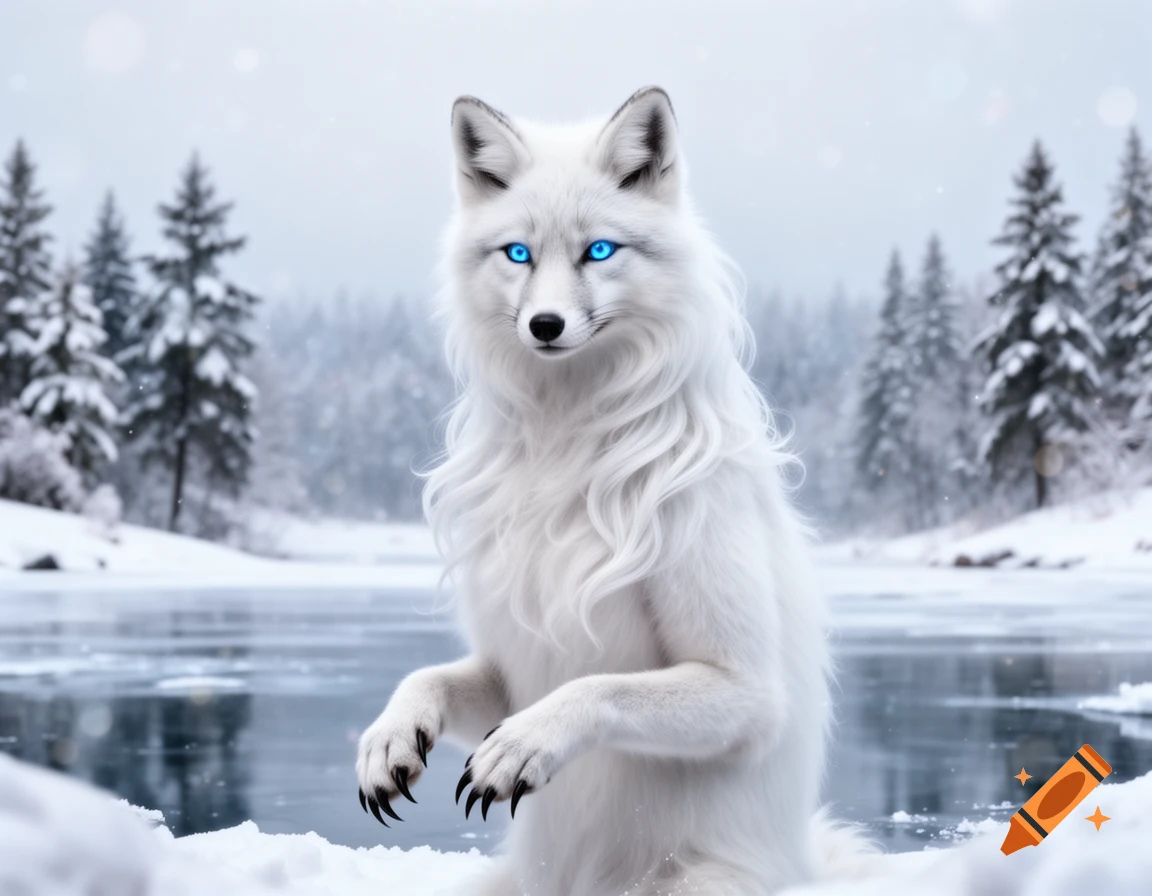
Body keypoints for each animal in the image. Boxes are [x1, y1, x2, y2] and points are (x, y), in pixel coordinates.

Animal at [355, 87, 872, 895]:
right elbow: (426, 674)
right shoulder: (512, 664)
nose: (545, 324)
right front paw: (389, 738)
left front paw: (525, 746)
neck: (567, 445)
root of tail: (804, 866)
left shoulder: (745, 690)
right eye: (518, 253)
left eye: (599, 251)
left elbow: (600, 686)